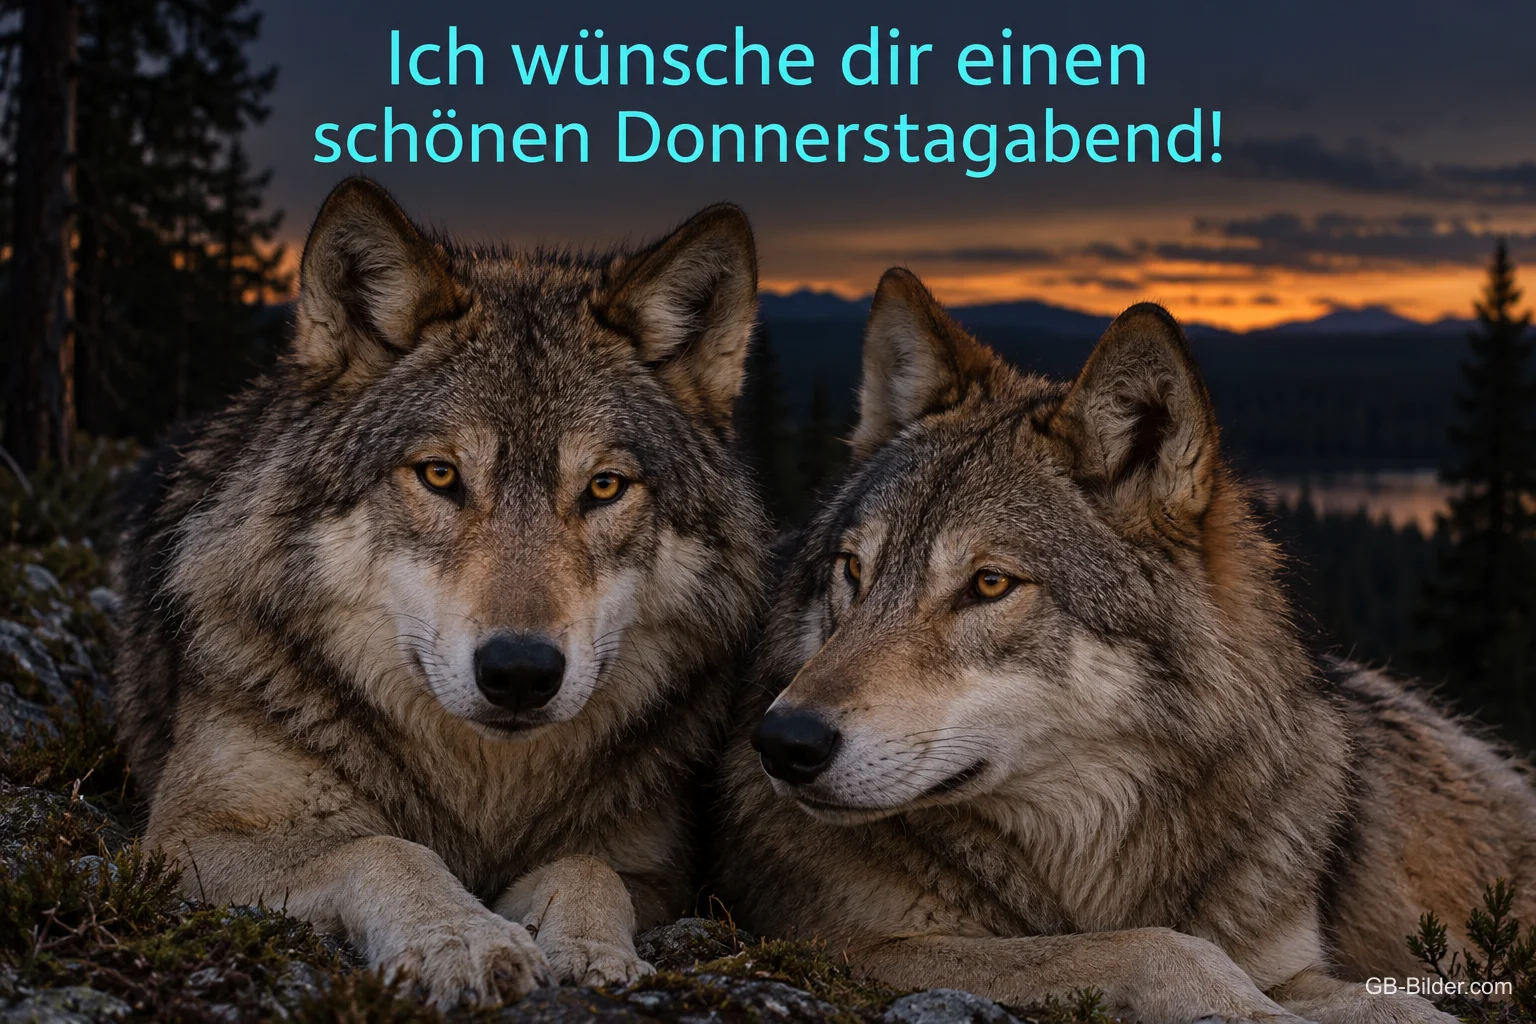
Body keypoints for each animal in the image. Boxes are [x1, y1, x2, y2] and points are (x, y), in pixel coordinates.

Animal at [112, 177, 769, 1008]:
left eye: (604, 487)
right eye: (440, 475)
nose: (520, 671)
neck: (482, 794)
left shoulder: (655, 866)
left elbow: (587, 867)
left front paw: (590, 949)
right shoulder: (187, 840)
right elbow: (384, 847)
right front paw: (462, 937)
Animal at [715, 268, 1536, 1024]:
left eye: (989, 584)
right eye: (853, 570)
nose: (785, 742)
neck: (1103, 852)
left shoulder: (1293, 964)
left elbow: (1391, 1004)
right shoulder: (845, 940)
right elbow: (1151, 946)